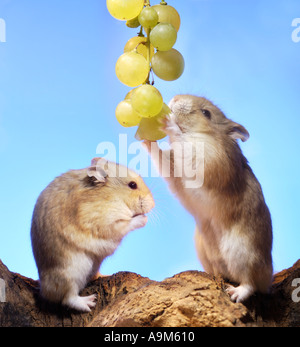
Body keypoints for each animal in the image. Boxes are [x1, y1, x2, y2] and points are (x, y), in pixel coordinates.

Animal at [30, 158, 155, 312]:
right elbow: (127, 223)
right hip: (71, 272)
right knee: (67, 298)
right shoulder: (105, 222)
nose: (153, 204)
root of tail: (44, 290)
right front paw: (144, 219)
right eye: (132, 185)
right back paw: (90, 302)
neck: (113, 194)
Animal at [144, 95, 274, 304]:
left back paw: (234, 293)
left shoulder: (209, 161)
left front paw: (169, 122)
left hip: (244, 253)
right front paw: (146, 138)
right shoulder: (173, 171)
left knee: (250, 283)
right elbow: (162, 157)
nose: (175, 98)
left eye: (206, 113)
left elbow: (183, 141)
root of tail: (268, 280)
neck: (205, 135)